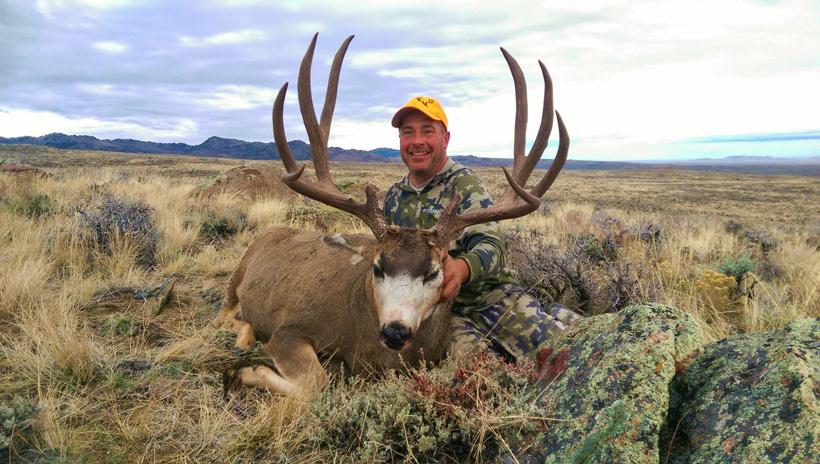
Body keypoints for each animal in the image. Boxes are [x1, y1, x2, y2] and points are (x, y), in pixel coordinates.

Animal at [214, 33, 569, 400]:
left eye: (434, 272)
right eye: (377, 267)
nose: (395, 331)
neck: (362, 338)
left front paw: (246, 371)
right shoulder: (288, 330)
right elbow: (317, 384)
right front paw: (246, 371)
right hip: (237, 278)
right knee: (224, 315)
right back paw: (243, 339)